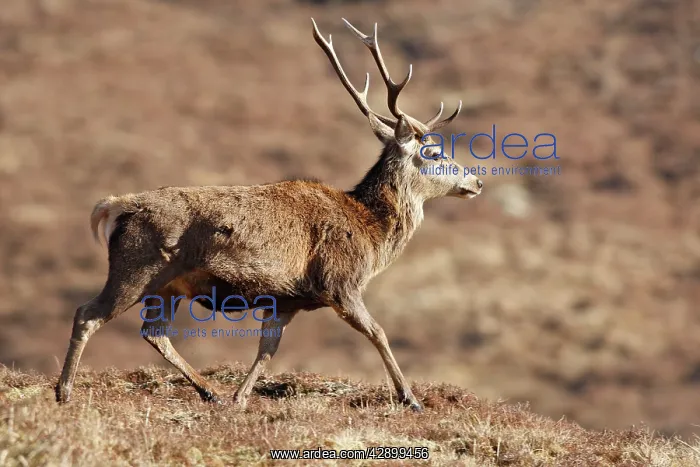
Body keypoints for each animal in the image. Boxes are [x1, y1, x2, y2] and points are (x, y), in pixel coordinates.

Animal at [54, 18, 482, 412]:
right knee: (88, 314)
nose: (476, 181)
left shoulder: (287, 299)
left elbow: (267, 349)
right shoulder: (340, 282)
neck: (371, 234)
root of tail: (115, 206)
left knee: (154, 332)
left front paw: (240, 397)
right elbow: (378, 332)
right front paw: (411, 398)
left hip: (170, 284)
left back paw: (210, 391)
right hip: (137, 267)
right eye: (434, 152)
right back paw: (64, 391)